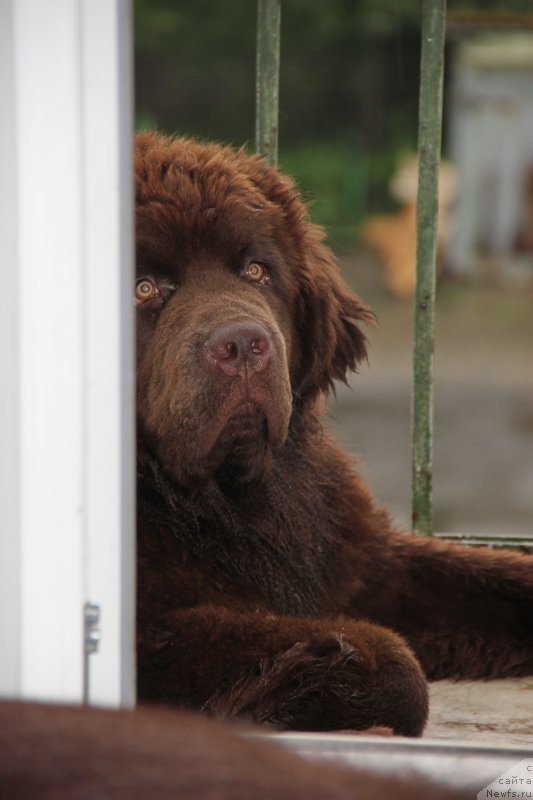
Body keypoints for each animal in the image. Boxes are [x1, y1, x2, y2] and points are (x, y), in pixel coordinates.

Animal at [136, 133, 532, 736]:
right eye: (144, 288)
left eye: (256, 271)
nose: (244, 345)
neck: (225, 500)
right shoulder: (147, 633)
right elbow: (389, 659)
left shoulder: (362, 562)